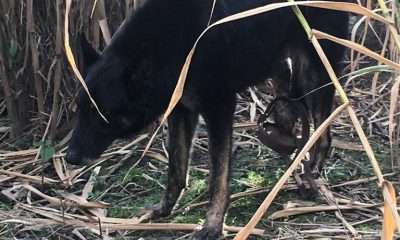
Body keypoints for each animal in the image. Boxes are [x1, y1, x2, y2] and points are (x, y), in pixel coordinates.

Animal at [65, 0, 346, 238]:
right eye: (79, 110)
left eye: (103, 115)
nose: (70, 158)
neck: (174, 41)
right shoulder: (181, 111)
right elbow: (176, 167)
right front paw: (165, 210)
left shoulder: (218, 109)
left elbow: (218, 177)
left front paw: (213, 224)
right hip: (278, 62)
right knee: (288, 104)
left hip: (316, 71)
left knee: (324, 130)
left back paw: (312, 171)